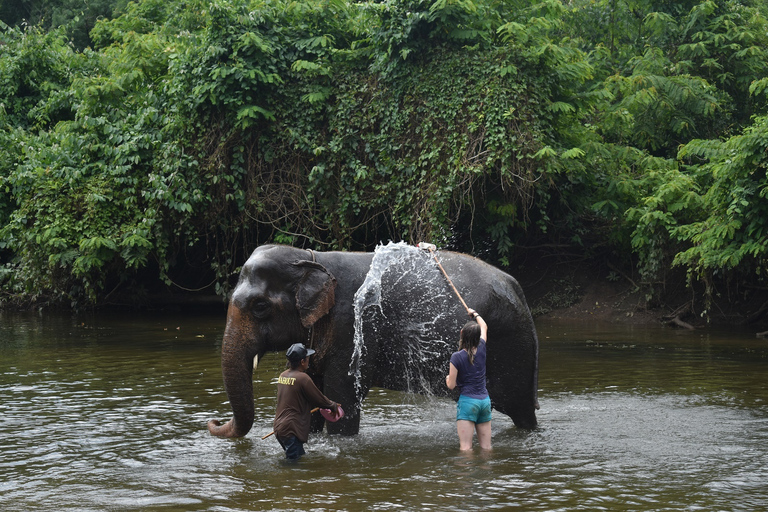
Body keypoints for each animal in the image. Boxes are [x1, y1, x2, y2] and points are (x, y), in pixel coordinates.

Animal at [207, 242, 536, 438]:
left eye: (260, 307)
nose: (213, 421)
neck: (312, 259)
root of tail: (517, 286)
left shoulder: (353, 327)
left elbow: (342, 399)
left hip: (514, 348)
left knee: (522, 411)